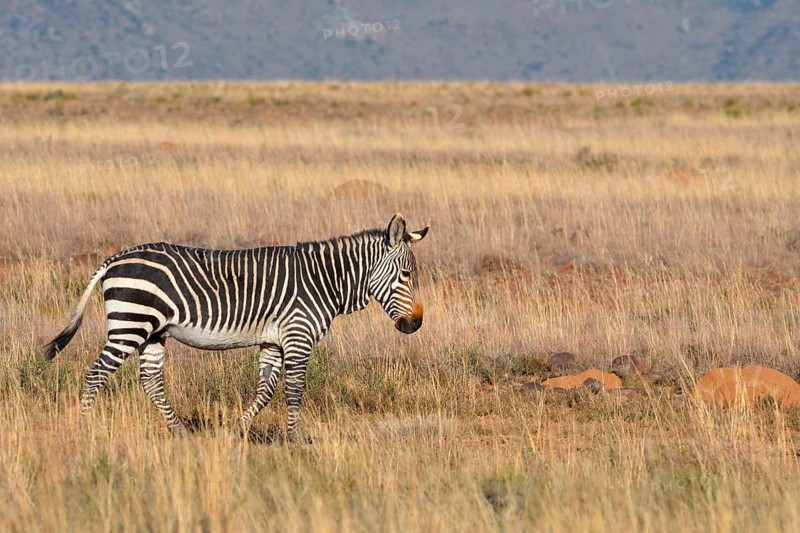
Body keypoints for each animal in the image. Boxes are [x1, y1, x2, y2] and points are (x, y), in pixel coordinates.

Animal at [44, 214, 428, 442]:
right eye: (406, 275)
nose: (415, 324)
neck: (324, 282)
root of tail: (114, 259)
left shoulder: (274, 342)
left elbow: (266, 390)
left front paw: (236, 431)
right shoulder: (298, 335)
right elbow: (294, 390)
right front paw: (295, 440)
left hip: (153, 332)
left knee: (150, 380)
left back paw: (179, 431)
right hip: (130, 324)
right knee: (96, 373)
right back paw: (84, 429)